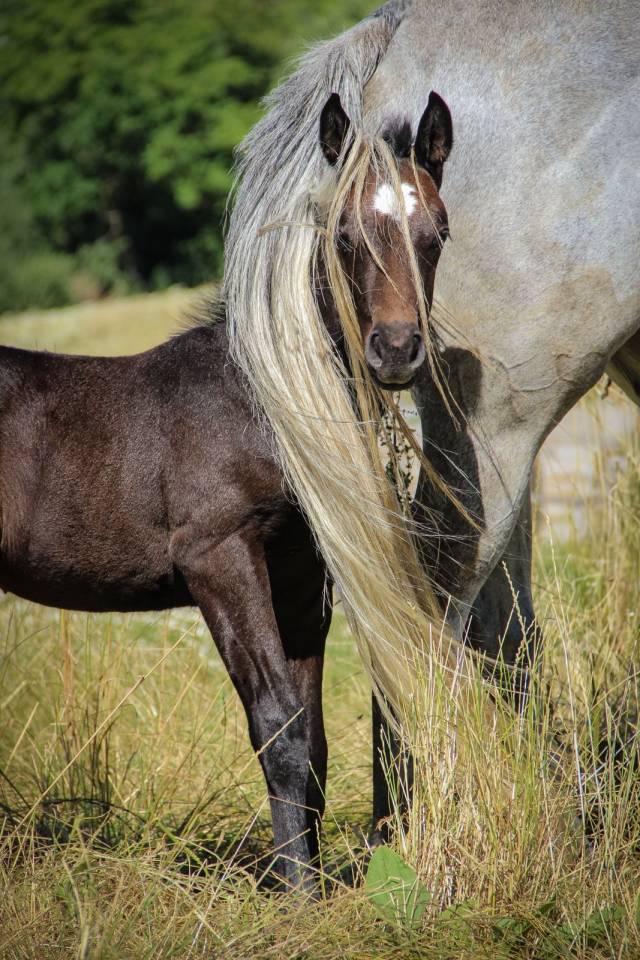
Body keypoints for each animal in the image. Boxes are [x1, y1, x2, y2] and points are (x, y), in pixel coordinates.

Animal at [0, 90, 455, 889]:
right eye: (342, 234)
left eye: (437, 232)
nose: (397, 351)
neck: (260, 406)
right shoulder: (220, 558)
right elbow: (276, 725)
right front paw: (298, 890)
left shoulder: (301, 576)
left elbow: (311, 735)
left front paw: (303, 879)